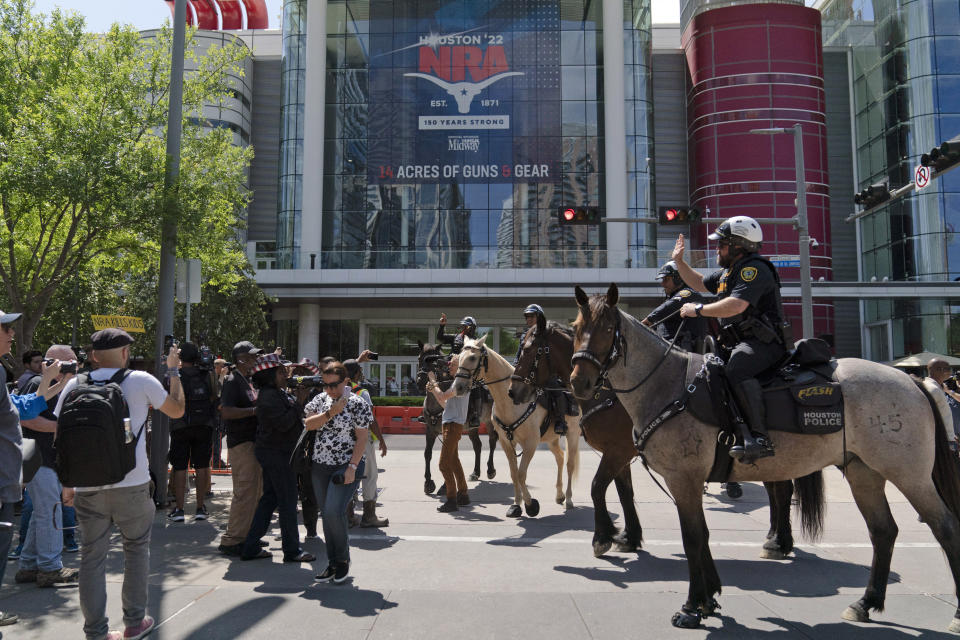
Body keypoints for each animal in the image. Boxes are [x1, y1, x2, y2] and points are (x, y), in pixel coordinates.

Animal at [416, 340, 498, 496]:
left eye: (433, 362)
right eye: (419, 358)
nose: (420, 380)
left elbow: (450, 456)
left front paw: (444, 486)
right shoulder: (430, 430)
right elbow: (427, 453)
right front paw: (428, 483)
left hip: (489, 421)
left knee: (492, 440)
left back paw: (490, 469)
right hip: (472, 428)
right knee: (477, 445)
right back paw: (475, 472)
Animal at [450, 336, 576, 520]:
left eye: (473, 358)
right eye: (459, 357)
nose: (458, 387)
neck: (510, 401)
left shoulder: (530, 443)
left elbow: (522, 474)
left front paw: (531, 505)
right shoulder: (506, 442)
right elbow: (514, 473)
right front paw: (516, 506)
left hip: (573, 434)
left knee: (569, 464)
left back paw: (569, 499)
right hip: (551, 438)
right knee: (560, 458)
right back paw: (559, 496)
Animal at [568, 286, 960, 636]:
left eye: (607, 329)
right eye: (575, 326)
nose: (579, 383)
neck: (667, 385)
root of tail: (912, 381)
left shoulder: (683, 479)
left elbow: (692, 538)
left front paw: (692, 608)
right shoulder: (675, 478)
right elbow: (702, 535)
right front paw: (709, 599)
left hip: (909, 475)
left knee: (945, 528)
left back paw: (953, 613)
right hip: (863, 472)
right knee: (883, 531)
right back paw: (866, 602)